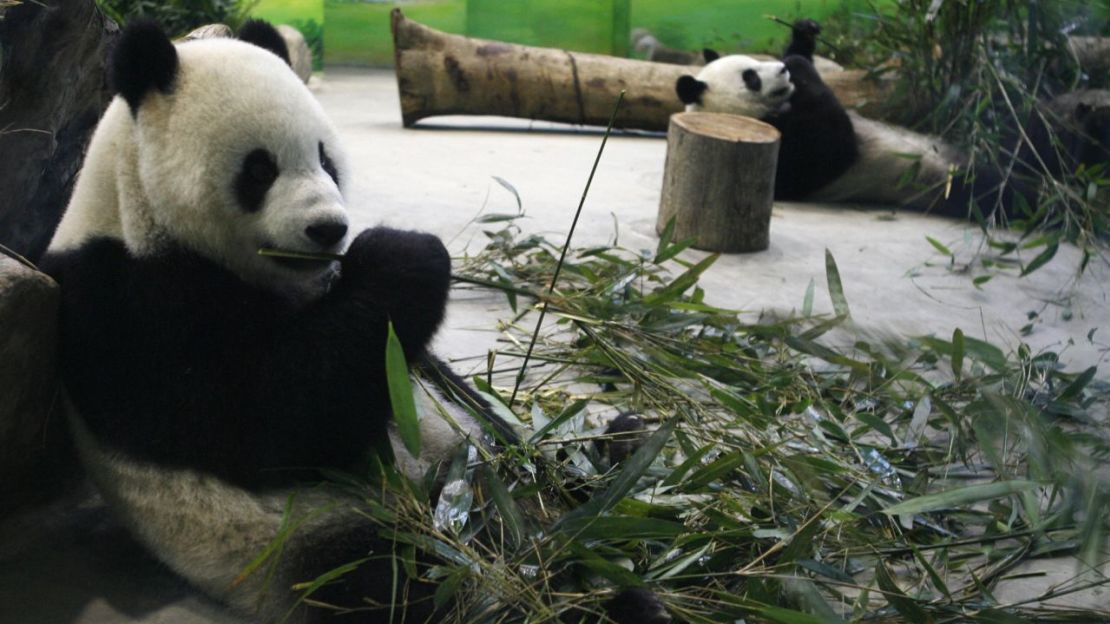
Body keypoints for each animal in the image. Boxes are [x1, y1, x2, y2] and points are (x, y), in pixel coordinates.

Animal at [41, 19, 666, 621]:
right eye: (259, 169)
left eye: (326, 159)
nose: (329, 229)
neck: (131, 203)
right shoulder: (129, 303)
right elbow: (272, 418)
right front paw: (407, 254)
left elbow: (421, 372)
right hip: (321, 535)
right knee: (424, 586)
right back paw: (597, 595)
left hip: (476, 462)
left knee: (540, 468)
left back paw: (622, 455)